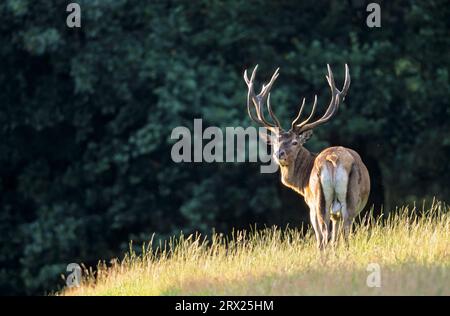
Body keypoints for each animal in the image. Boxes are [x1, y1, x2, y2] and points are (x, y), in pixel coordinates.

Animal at [244, 63, 370, 248]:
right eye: (275, 142)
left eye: (295, 142)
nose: (278, 154)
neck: (301, 184)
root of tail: (333, 160)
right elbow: (336, 236)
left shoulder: (310, 203)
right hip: (345, 201)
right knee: (341, 234)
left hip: (320, 201)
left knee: (324, 235)